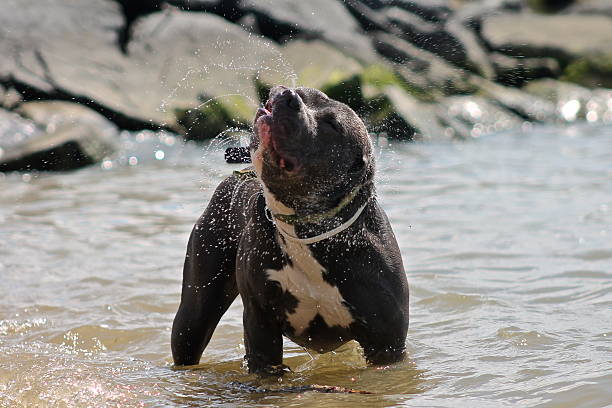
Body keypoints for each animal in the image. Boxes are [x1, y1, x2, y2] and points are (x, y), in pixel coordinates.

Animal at [172, 86, 408, 376]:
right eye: (306, 94)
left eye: (332, 125)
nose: (286, 94)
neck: (306, 232)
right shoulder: (261, 328)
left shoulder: (387, 345)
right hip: (195, 309)